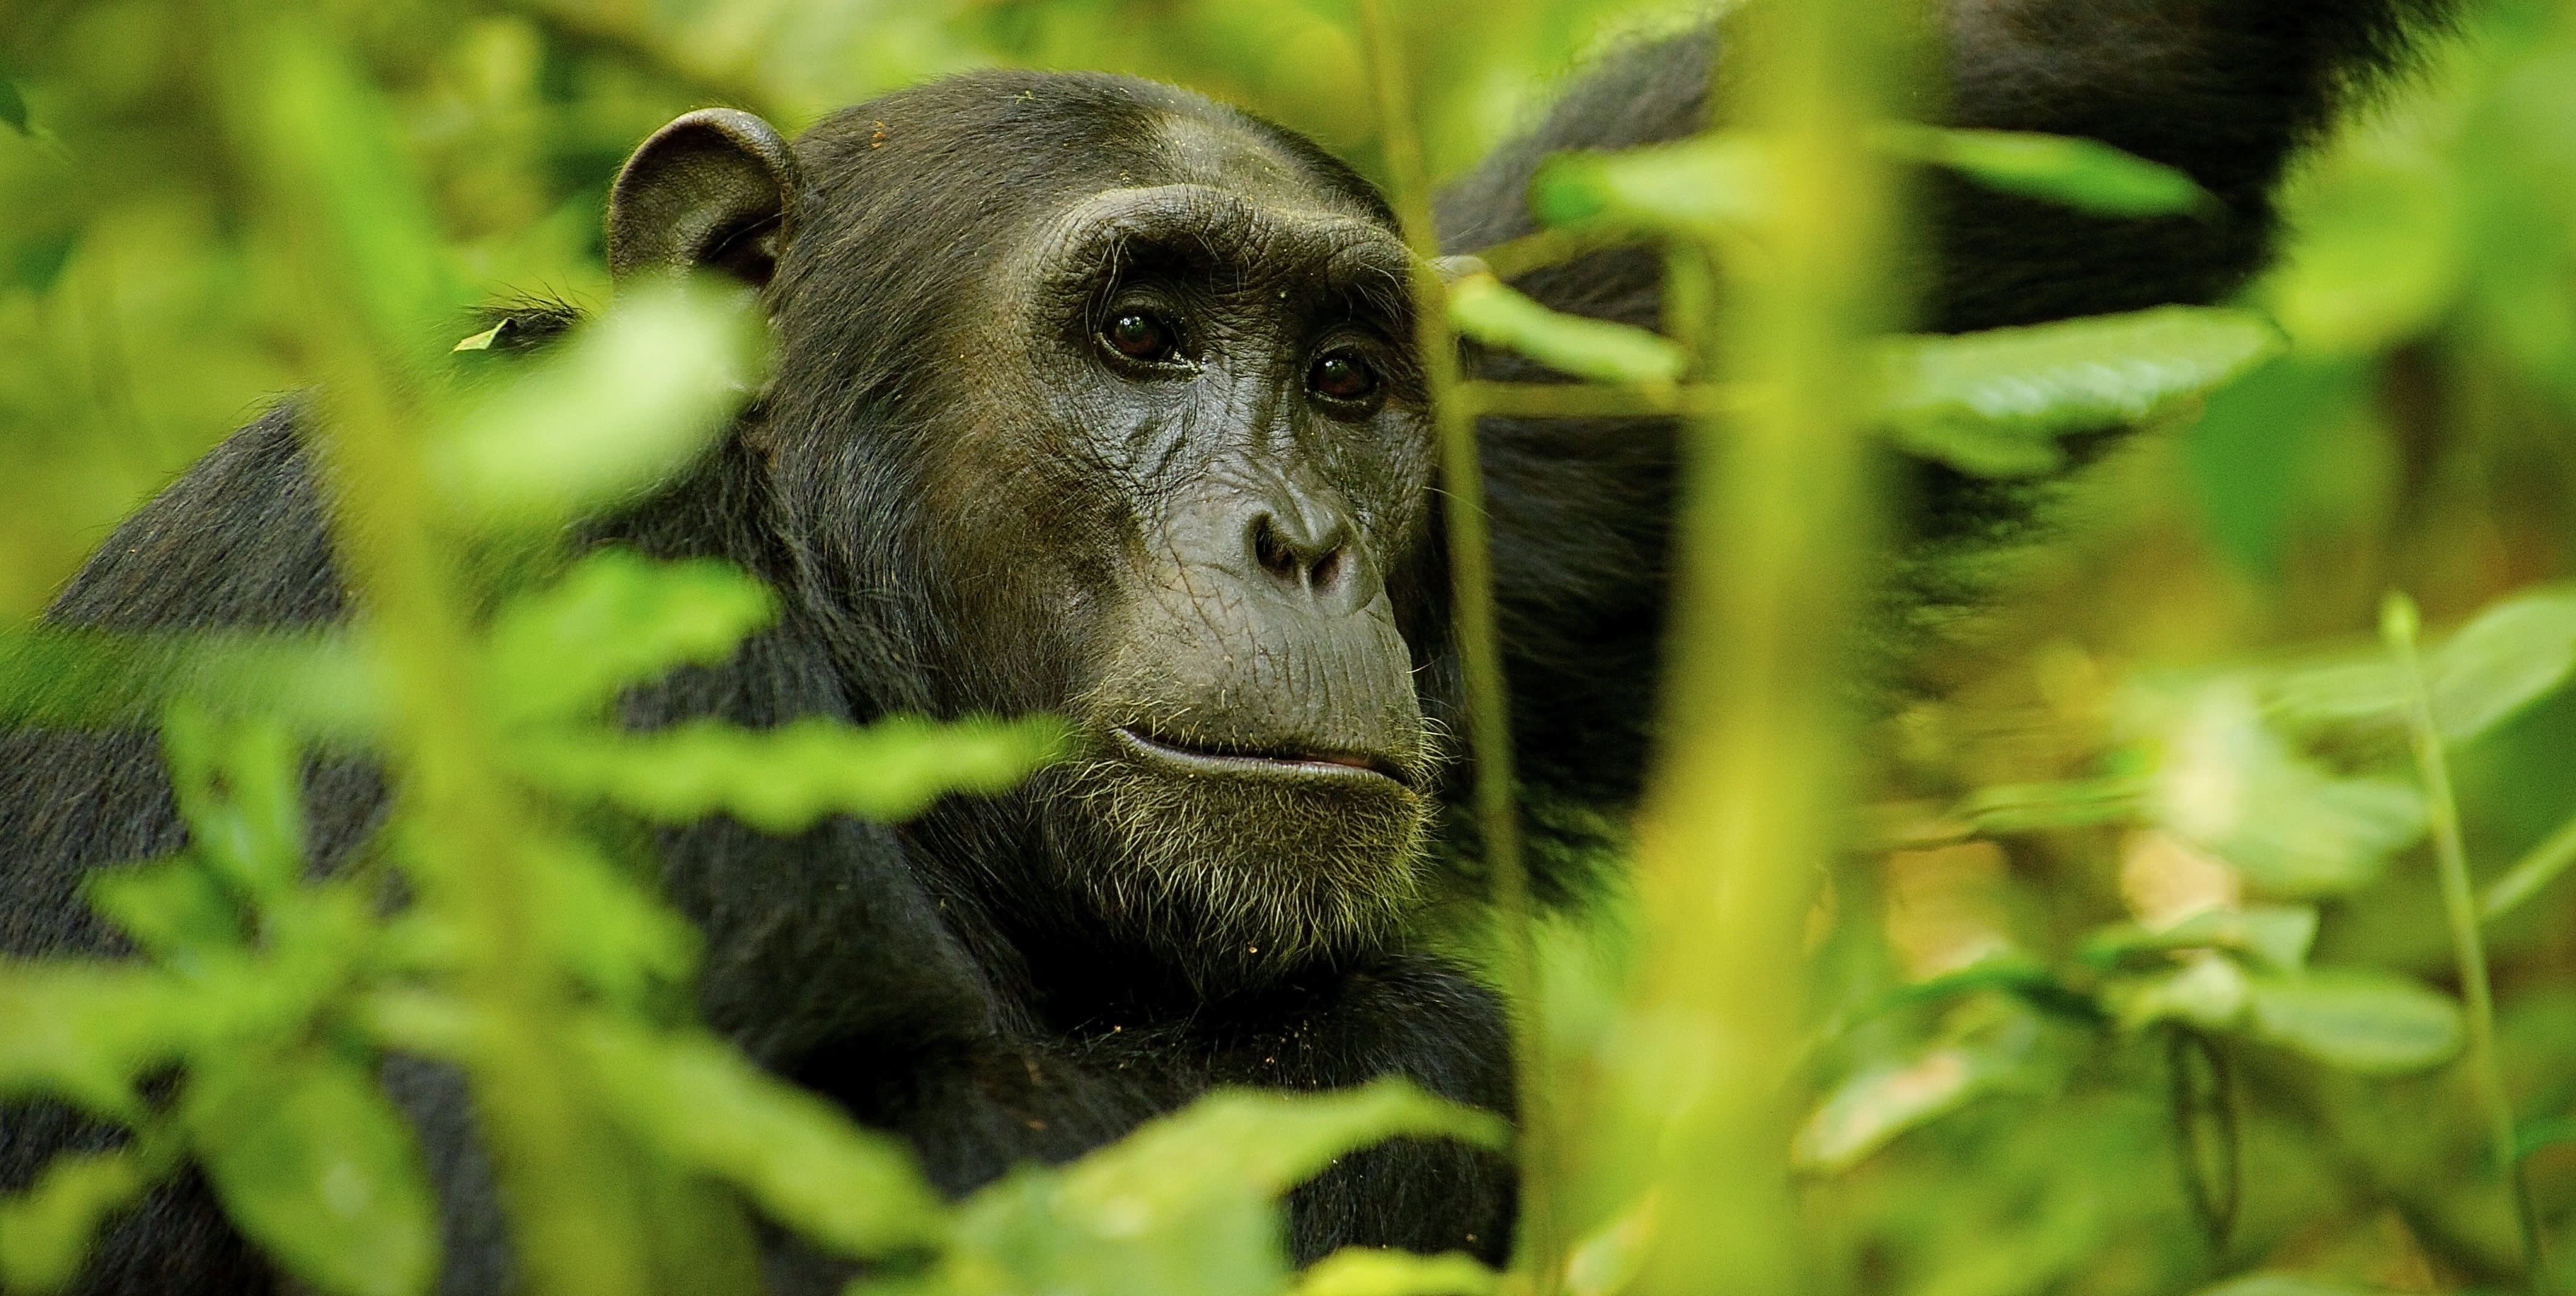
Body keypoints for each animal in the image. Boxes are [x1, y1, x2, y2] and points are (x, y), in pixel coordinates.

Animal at [0, 5, 2452, 1293]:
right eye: (1142, 334)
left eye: (1348, 376)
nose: (1300, 538)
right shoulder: (531, 642)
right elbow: (696, 1206)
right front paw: (1415, 1046)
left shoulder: (1494, 478)